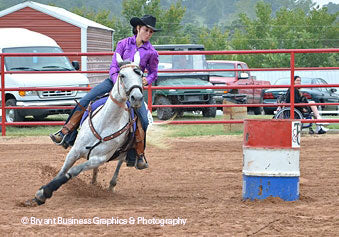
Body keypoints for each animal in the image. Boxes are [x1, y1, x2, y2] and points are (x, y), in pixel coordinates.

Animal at [25, 51, 144, 206]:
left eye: (141, 74)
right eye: (122, 75)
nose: (137, 97)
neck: (105, 123)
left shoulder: (99, 158)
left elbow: (73, 171)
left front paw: (45, 192)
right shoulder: (74, 151)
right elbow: (63, 170)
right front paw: (40, 193)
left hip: (123, 153)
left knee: (118, 165)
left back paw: (111, 185)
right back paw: (93, 182)